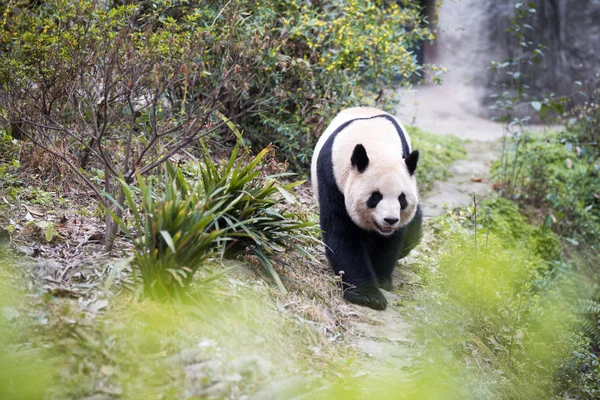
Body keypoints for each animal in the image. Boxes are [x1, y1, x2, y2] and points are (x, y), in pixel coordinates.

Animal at [312, 108, 424, 310]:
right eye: (375, 197)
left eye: (401, 198)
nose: (390, 220)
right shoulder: (332, 181)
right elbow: (342, 234)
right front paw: (368, 295)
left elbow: (391, 241)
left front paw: (381, 279)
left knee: (413, 230)